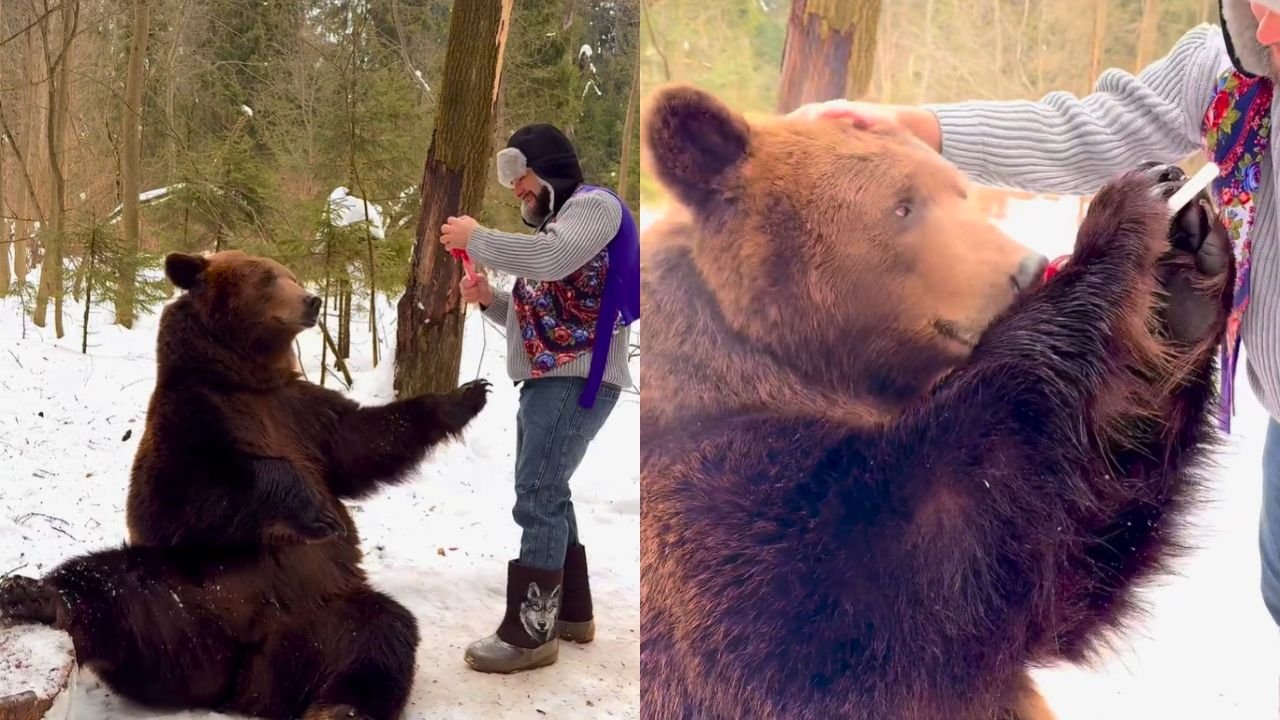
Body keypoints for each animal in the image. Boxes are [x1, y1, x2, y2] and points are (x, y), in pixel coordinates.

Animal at [0, 248, 488, 717]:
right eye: (269, 278)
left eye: (291, 274)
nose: (312, 300)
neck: (244, 376)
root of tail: (250, 680)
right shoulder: (195, 420)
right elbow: (208, 487)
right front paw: (320, 515)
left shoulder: (303, 414)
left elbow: (364, 440)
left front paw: (469, 394)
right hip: (195, 597)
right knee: (115, 585)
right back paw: (36, 595)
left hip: (324, 611)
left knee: (381, 634)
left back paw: (341, 707)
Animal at [640, 85, 1228, 717]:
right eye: (902, 206)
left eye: (958, 189)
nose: (1027, 270)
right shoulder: (713, 510)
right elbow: (905, 584)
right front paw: (1123, 214)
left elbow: (1072, 558)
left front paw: (1184, 271)